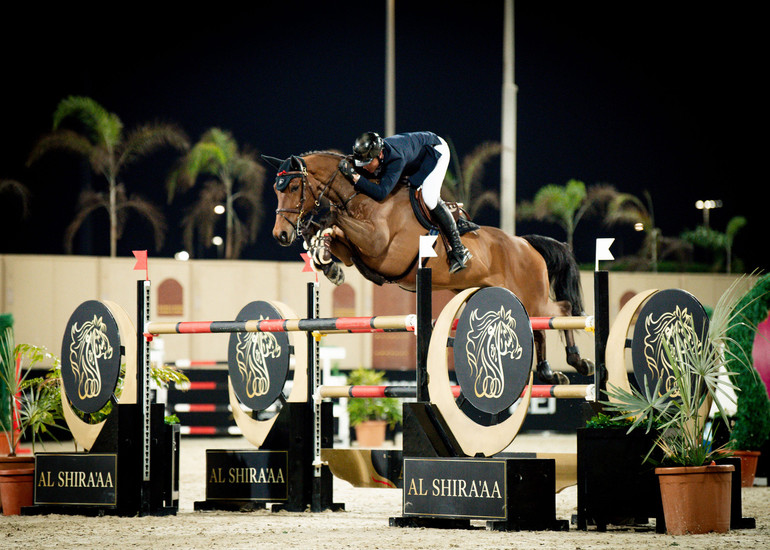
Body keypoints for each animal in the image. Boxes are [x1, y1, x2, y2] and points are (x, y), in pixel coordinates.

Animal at [264, 149, 592, 386]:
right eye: (276, 190)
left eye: (294, 186)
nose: (281, 235)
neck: (364, 197)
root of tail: (525, 243)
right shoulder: (359, 250)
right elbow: (335, 235)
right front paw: (326, 261)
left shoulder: (380, 247)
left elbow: (336, 221)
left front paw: (319, 230)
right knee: (537, 326)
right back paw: (549, 372)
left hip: (530, 295)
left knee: (559, 312)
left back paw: (575, 363)